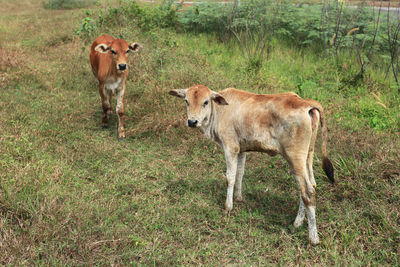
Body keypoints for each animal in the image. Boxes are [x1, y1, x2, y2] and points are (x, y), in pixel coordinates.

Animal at [169, 85, 334, 245]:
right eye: (186, 101)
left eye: (205, 102)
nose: (192, 121)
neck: (219, 110)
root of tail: (305, 102)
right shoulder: (242, 150)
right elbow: (240, 173)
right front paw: (238, 197)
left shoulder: (230, 147)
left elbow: (230, 177)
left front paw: (228, 207)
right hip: (307, 156)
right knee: (310, 186)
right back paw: (297, 223)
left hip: (295, 157)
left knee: (307, 191)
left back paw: (313, 238)